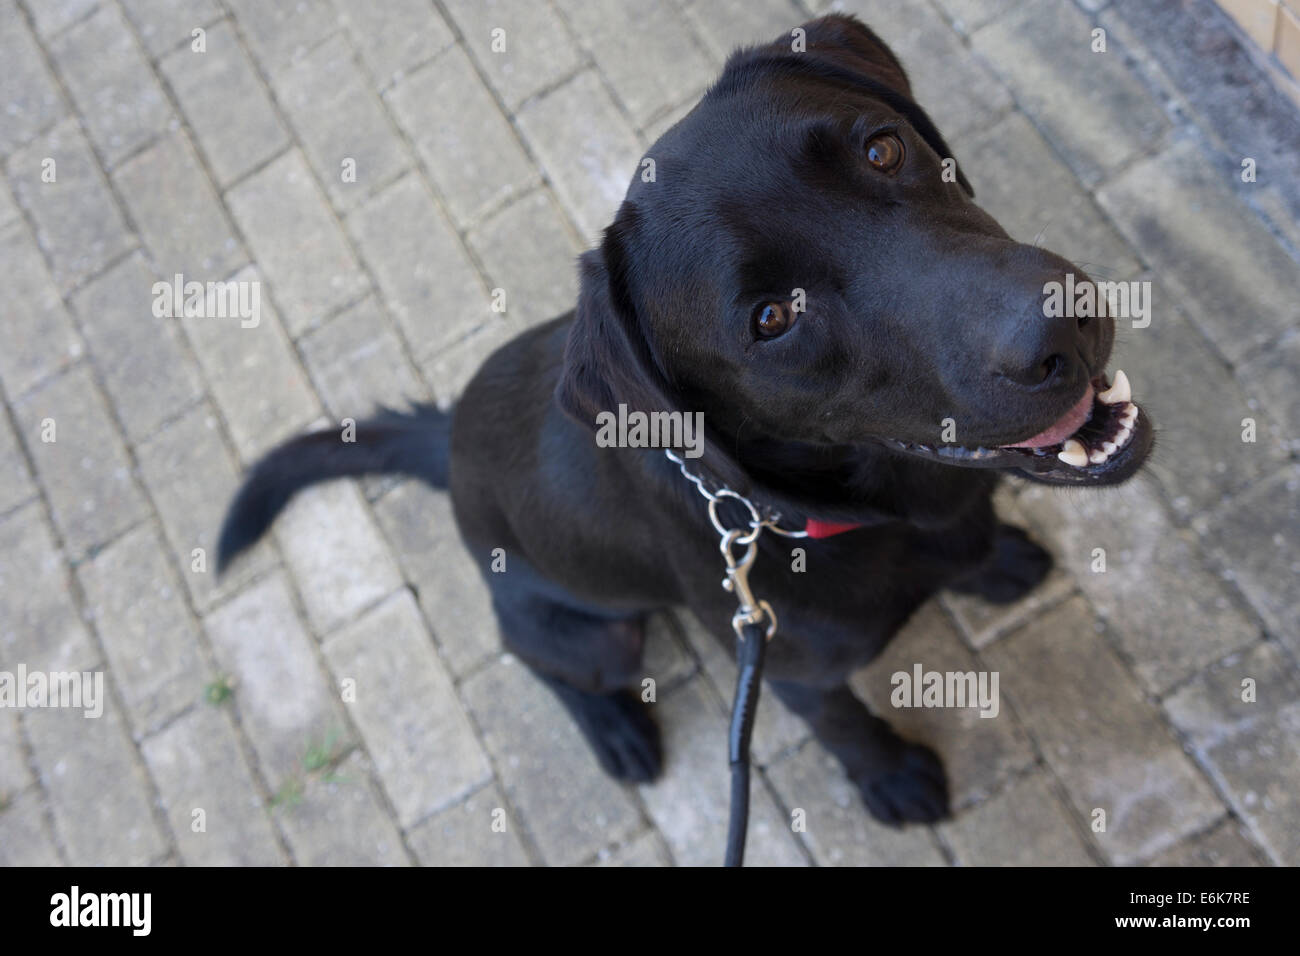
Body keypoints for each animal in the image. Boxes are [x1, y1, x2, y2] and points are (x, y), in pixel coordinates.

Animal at [218, 13, 1154, 822]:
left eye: (884, 148)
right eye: (771, 318)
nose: (1058, 325)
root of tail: (444, 438)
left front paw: (993, 562)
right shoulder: (789, 672)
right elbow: (842, 724)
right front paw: (890, 779)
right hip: (598, 637)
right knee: (539, 658)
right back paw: (616, 729)